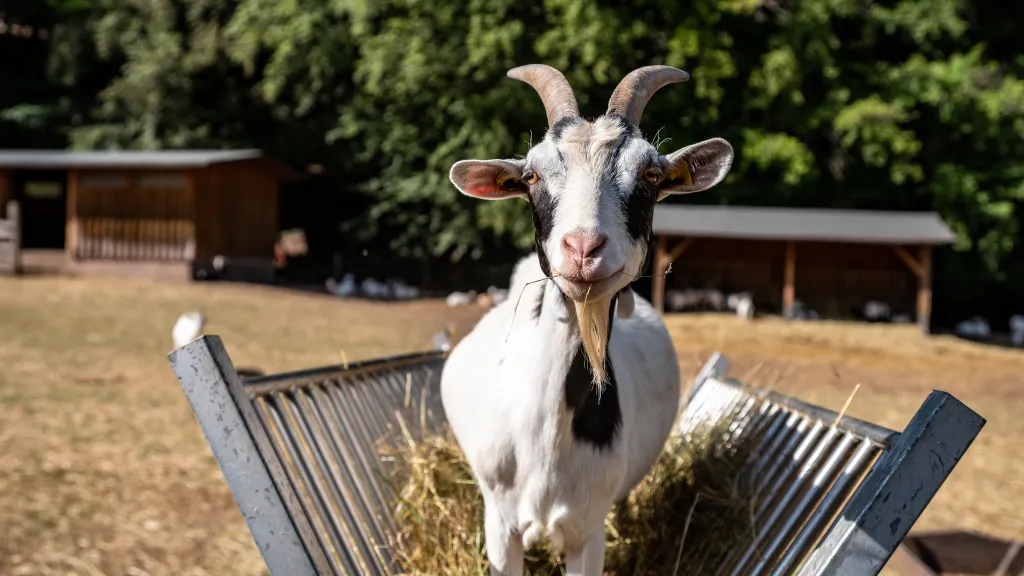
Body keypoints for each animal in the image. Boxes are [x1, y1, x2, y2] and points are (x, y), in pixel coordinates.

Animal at [440, 64, 733, 576]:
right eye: (531, 174)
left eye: (650, 173)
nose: (582, 248)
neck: (546, 441)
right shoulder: (500, 524)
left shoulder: (587, 531)